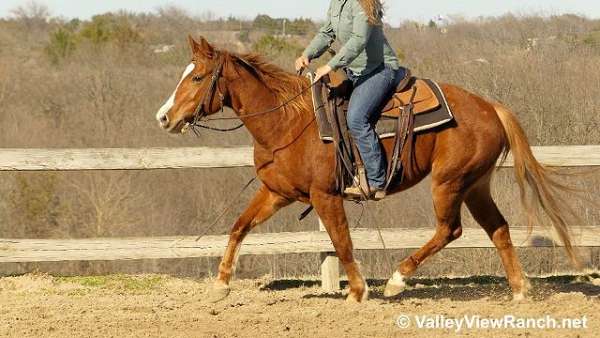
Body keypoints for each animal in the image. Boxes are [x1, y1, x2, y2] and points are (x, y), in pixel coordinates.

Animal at [155, 35, 576, 302]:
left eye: (196, 77)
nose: (163, 117)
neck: (288, 123)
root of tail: (490, 107)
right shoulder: (276, 193)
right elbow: (239, 227)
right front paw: (221, 285)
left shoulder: (325, 196)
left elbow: (342, 242)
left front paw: (358, 292)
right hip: (475, 185)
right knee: (498, 229)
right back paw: (520, 291)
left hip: (449, 182)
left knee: (450, 230)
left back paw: (397, 280)